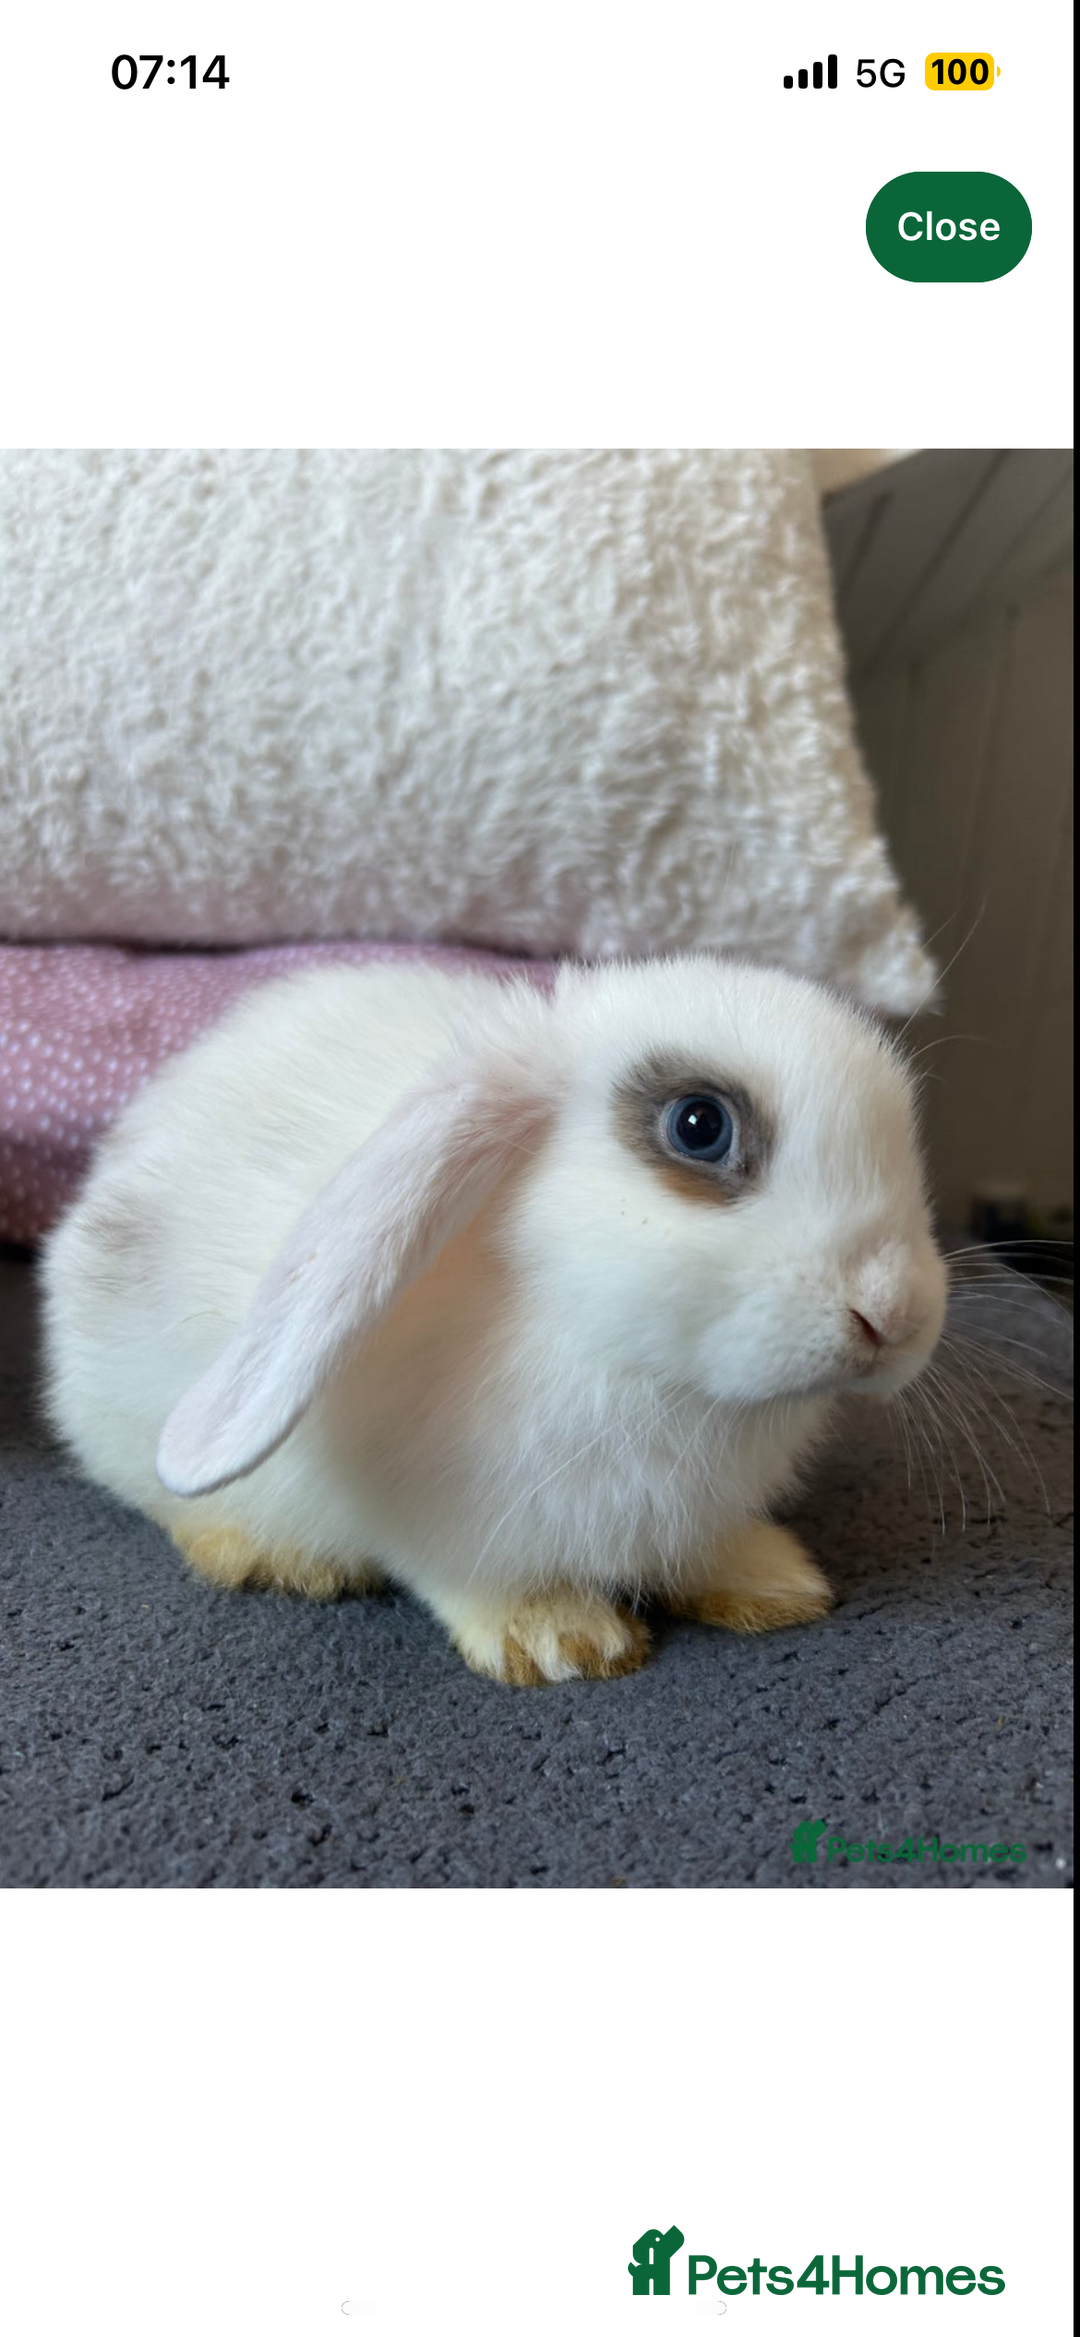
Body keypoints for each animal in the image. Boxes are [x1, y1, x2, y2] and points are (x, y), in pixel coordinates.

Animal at [40, 953, 947, 1684]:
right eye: (699, 1124)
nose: (892, 1314)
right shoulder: (441, 1518)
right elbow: (480, 1579)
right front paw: (558, 1642)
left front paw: (774, 1582)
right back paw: (267, 1555)